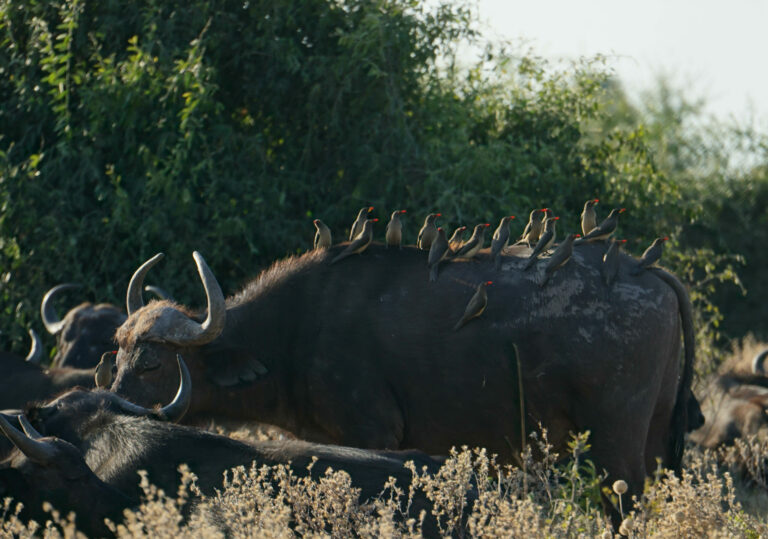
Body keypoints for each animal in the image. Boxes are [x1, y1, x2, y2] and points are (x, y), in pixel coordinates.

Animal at [112, 243, 696, 504]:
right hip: (655, 439)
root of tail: (647, 271)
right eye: (115, 355)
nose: (112, 404)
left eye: (153, 362)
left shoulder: (373, 434)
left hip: (616, 444)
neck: (296, 329)